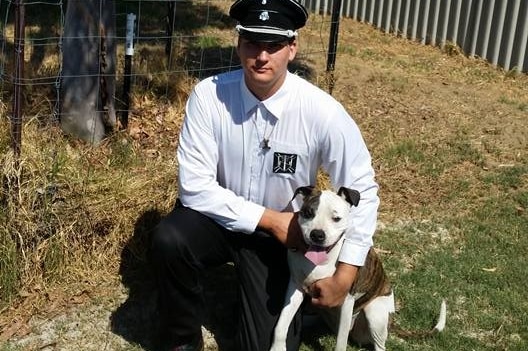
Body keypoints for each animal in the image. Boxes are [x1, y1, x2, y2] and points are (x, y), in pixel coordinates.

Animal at [268, 186, 446, 350]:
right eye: (308, 213)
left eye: (336, 218)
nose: (317, 234)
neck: (321, 262)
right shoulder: (295, 288)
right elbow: (281, 325)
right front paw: (277, 347)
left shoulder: (345, 300)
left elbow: (340, 342)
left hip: (374, 312)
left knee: (379, 345)